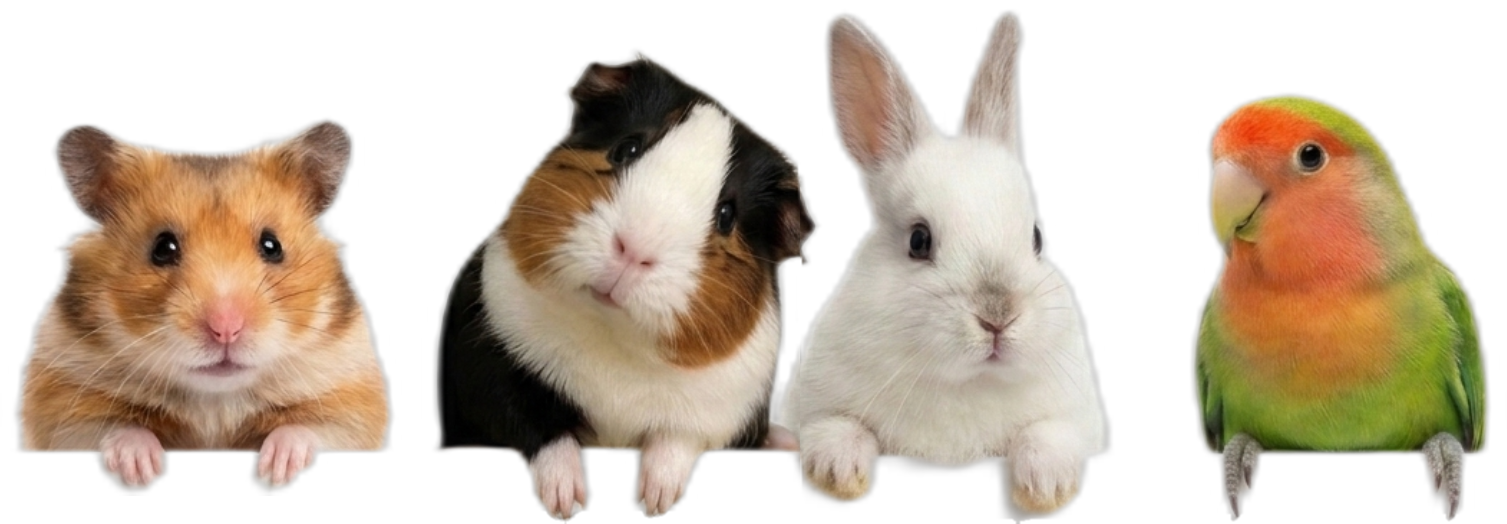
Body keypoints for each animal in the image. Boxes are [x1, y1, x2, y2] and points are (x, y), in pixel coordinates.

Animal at [777, 11, 1109, 518]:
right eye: (919, 240)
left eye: (1036, 238)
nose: (997, 317)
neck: (967, 384)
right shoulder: (811, 410)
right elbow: (836, 427)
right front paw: (839, 475)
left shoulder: (1074, 420)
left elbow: (1047, 436)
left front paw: (1046, 489)